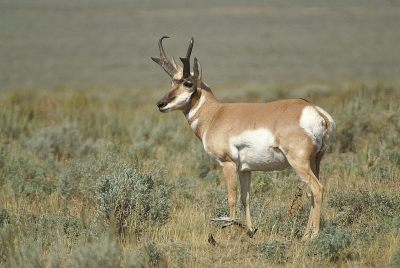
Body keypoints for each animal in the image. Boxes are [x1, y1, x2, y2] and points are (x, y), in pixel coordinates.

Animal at [152, 36, 336, 239]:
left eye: (188, 83)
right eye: (172, 83)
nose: (161, 104)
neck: (216, 114)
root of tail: (317, 111)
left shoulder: (228, 164)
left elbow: (231, 197)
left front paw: (231, 232)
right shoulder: (245, 169)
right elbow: (245, 197)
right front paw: (249, 230)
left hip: (299, 162)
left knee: (317, 189)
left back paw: (313, 235)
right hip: (315, 161)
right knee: (312, 192)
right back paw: (305, 234)